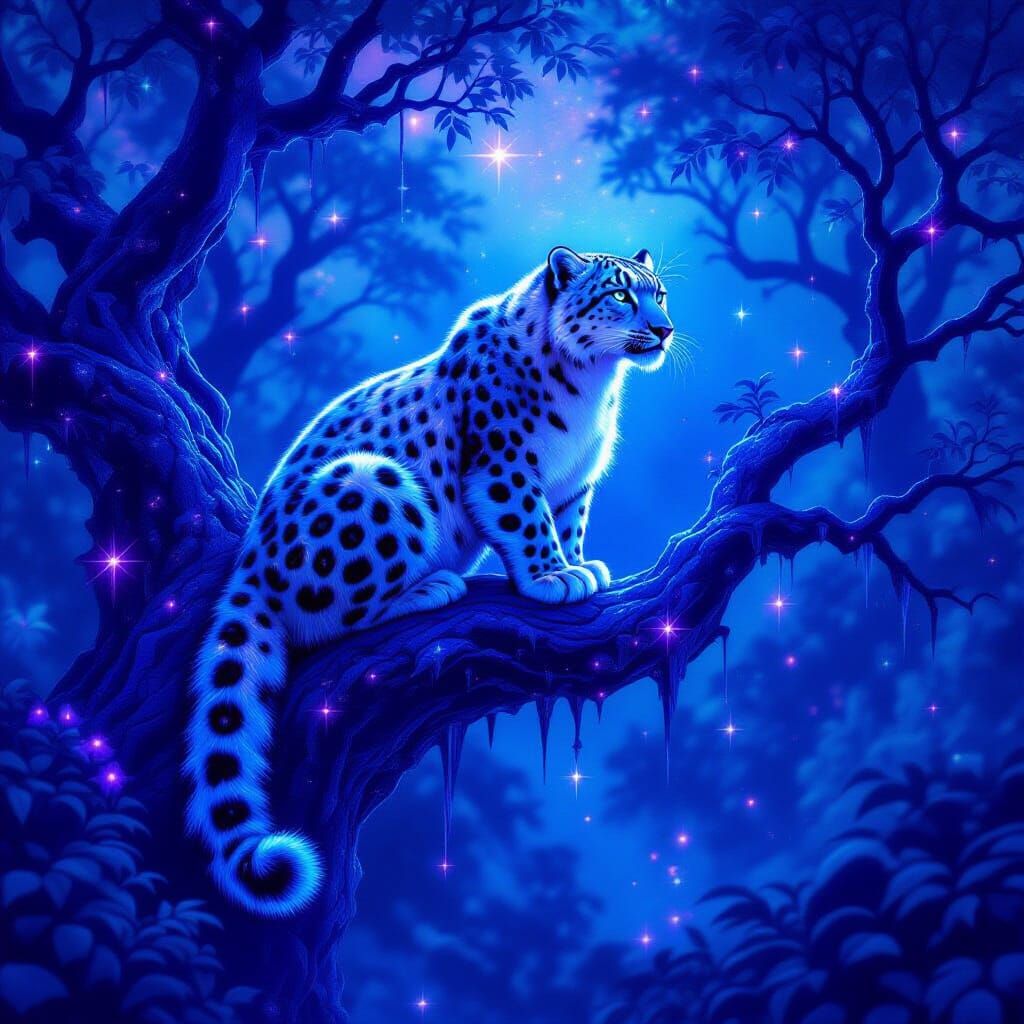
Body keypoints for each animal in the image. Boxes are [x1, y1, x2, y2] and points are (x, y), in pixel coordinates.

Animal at [185, 246, 674, 915]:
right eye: (621, 295)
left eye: (660, 294)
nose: (664, 330)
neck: (595, 389)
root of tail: (249, 564)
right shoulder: (506, 467)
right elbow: (528, 522)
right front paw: (553, 576)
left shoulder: (577, 480)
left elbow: (569, 520)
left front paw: (582, 565)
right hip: (373, 483)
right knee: (321, 616)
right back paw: (429, 587)